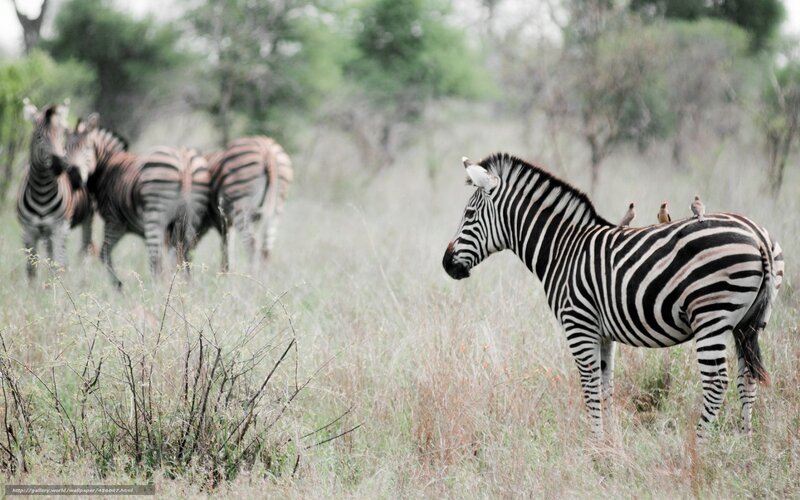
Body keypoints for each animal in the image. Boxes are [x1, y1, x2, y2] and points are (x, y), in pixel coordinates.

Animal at [17, 100, 94, 279]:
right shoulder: (28, 231)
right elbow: (31, 270)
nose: (59, 166)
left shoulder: (59, 228)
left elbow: (59, 265)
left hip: (86, 218)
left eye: (60, 136)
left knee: (85, 250)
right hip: (47, 234)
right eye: (39, 137)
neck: (41, 191)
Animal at [66, 114, 211, 287]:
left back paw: (155, 290)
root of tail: (184, 161)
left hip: (155, 214)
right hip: (191, 217)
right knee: (185, 255)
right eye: (65, 149)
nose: (74, 176)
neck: (106, 166)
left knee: (156, 260)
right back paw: (185, 288)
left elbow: (104, 253)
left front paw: (118, 286)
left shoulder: (114, 221)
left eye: (87, 148)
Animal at [203, 136, 293, 272]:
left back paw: (250, 277)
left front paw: (225, 274)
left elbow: (226, 247)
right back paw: (261, 277)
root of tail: (267, 151)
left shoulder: (222, 220)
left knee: (252, 245)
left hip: (241, 206)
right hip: (276, 208)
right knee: (266, 249)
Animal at [442, 153, 784, 439]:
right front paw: (610, 445)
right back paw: (744, 443)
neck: (563, 249)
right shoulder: (603, 332)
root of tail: (757, 236)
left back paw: (698, 447)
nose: (446, 264)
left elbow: (590, 386)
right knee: (747, 378)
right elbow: (606, 386)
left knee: (716, 383)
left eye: (469, 214)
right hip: (749, 322)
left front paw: (595, 447)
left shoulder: (578, 324)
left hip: (711, 315)